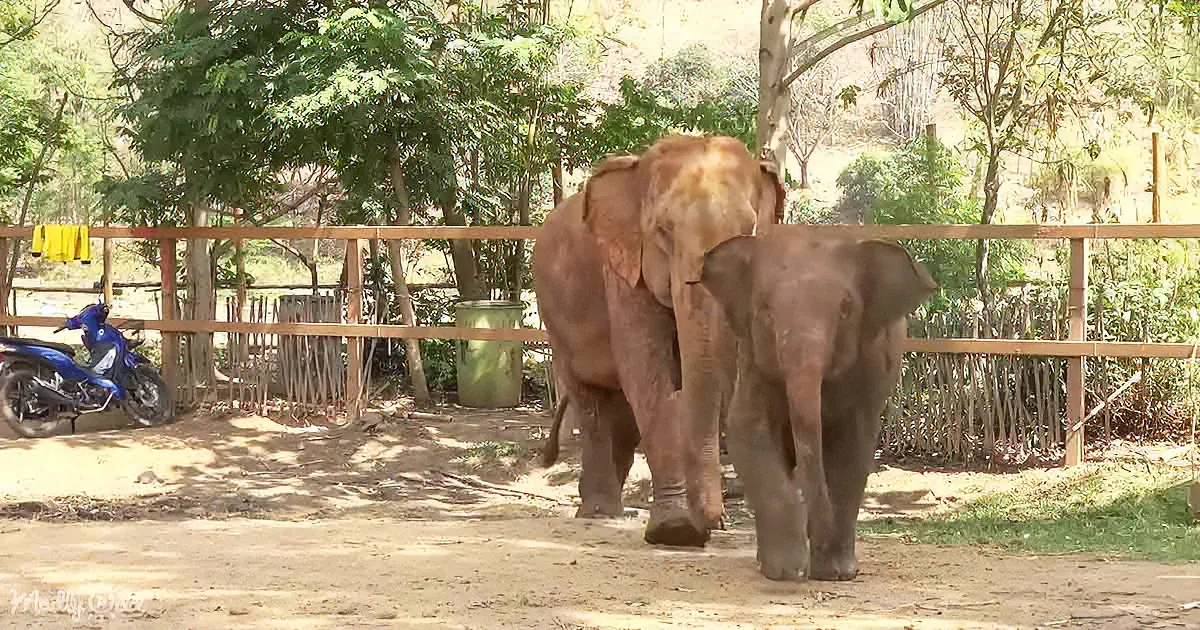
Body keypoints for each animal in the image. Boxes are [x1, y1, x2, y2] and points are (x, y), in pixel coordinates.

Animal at [532, 134, 785, 547]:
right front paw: (676, 530)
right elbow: (646, 371)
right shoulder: (622, 268)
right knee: (591, 401)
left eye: (748, 229)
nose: (712, 523)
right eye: (664, 231)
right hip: (555, 321)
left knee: (621, 415)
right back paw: (600, 512)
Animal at [694, 232, 937, 580]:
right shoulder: (750, 356)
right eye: (765, 310)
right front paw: (786, 571)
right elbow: (747, 430)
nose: (818, 543)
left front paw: (836, 573)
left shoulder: (870, 364)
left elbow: (853, 446)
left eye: (846, 310)